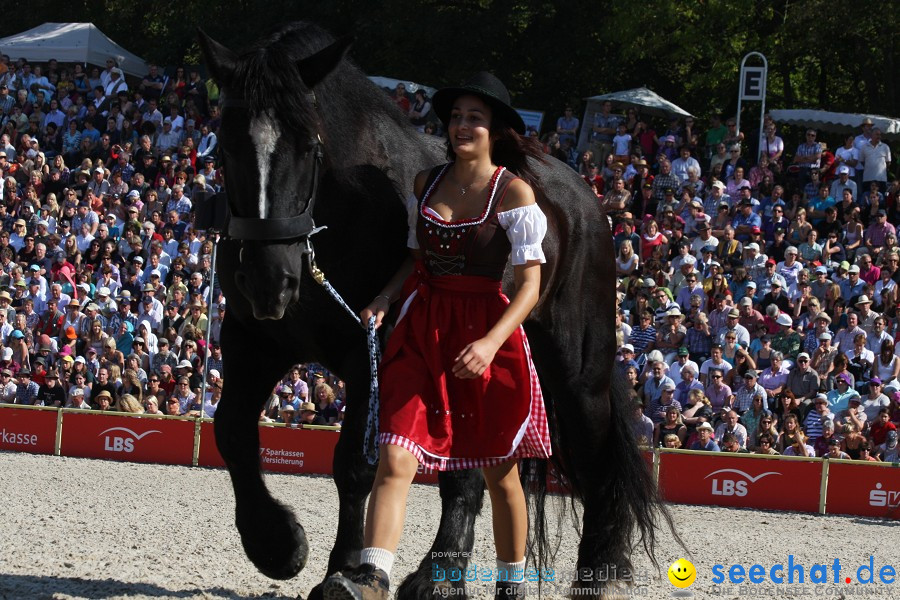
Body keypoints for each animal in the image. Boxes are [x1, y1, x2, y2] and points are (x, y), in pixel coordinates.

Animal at [199, 21, 668, 596]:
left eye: (308, 144)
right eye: (225, 144)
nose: (269, 278)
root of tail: (583, 198)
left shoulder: (367, 354)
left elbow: (353, 464)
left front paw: (341, 569)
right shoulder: (253, 340)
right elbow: (231, 432)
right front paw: (278, 544)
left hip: (579, 375)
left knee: (597, 461)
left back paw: (595, 574)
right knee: (469, 473)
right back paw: (439, 575)